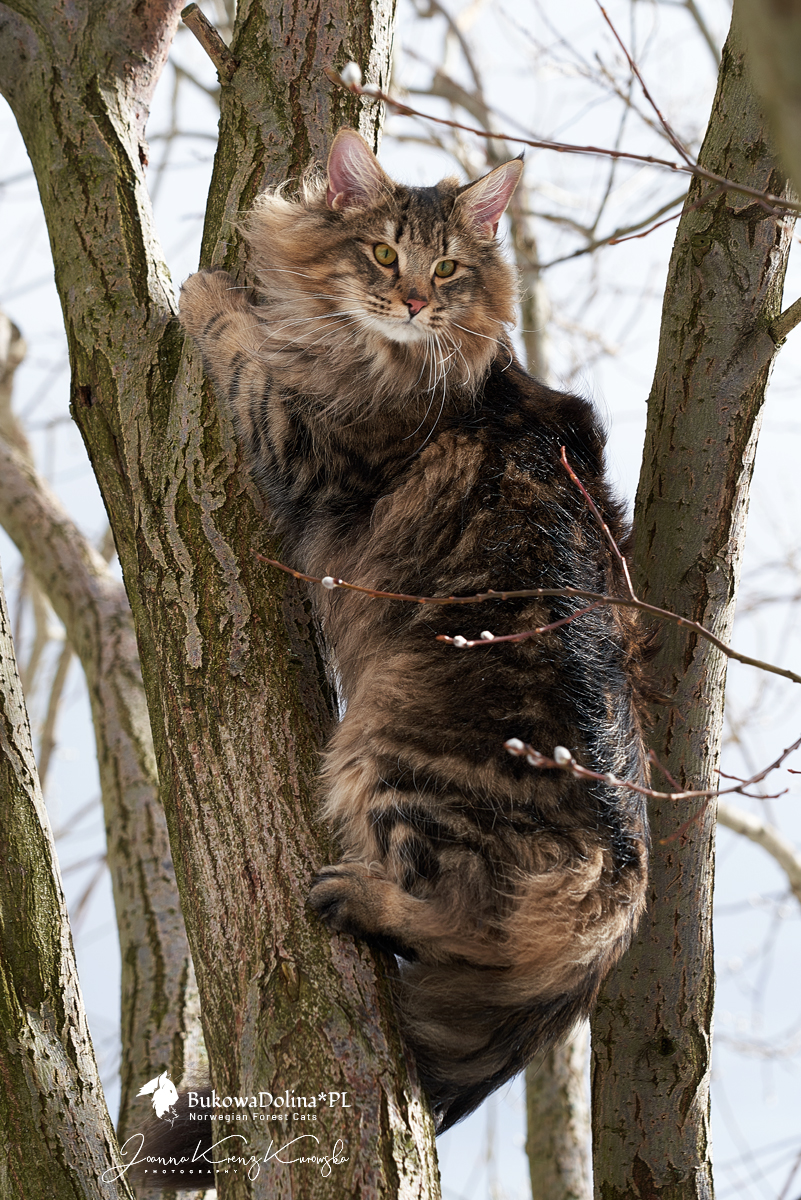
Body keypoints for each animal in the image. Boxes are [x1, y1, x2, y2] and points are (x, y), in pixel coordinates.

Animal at [176, 127, 650, 1138]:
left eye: (446, 268)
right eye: (384, 255)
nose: (414, 302)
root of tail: (621, 901)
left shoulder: (303, 446)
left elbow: (240, 353)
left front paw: (206, 292)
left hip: (389, 753)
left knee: (467, 924)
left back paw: (358, 898)